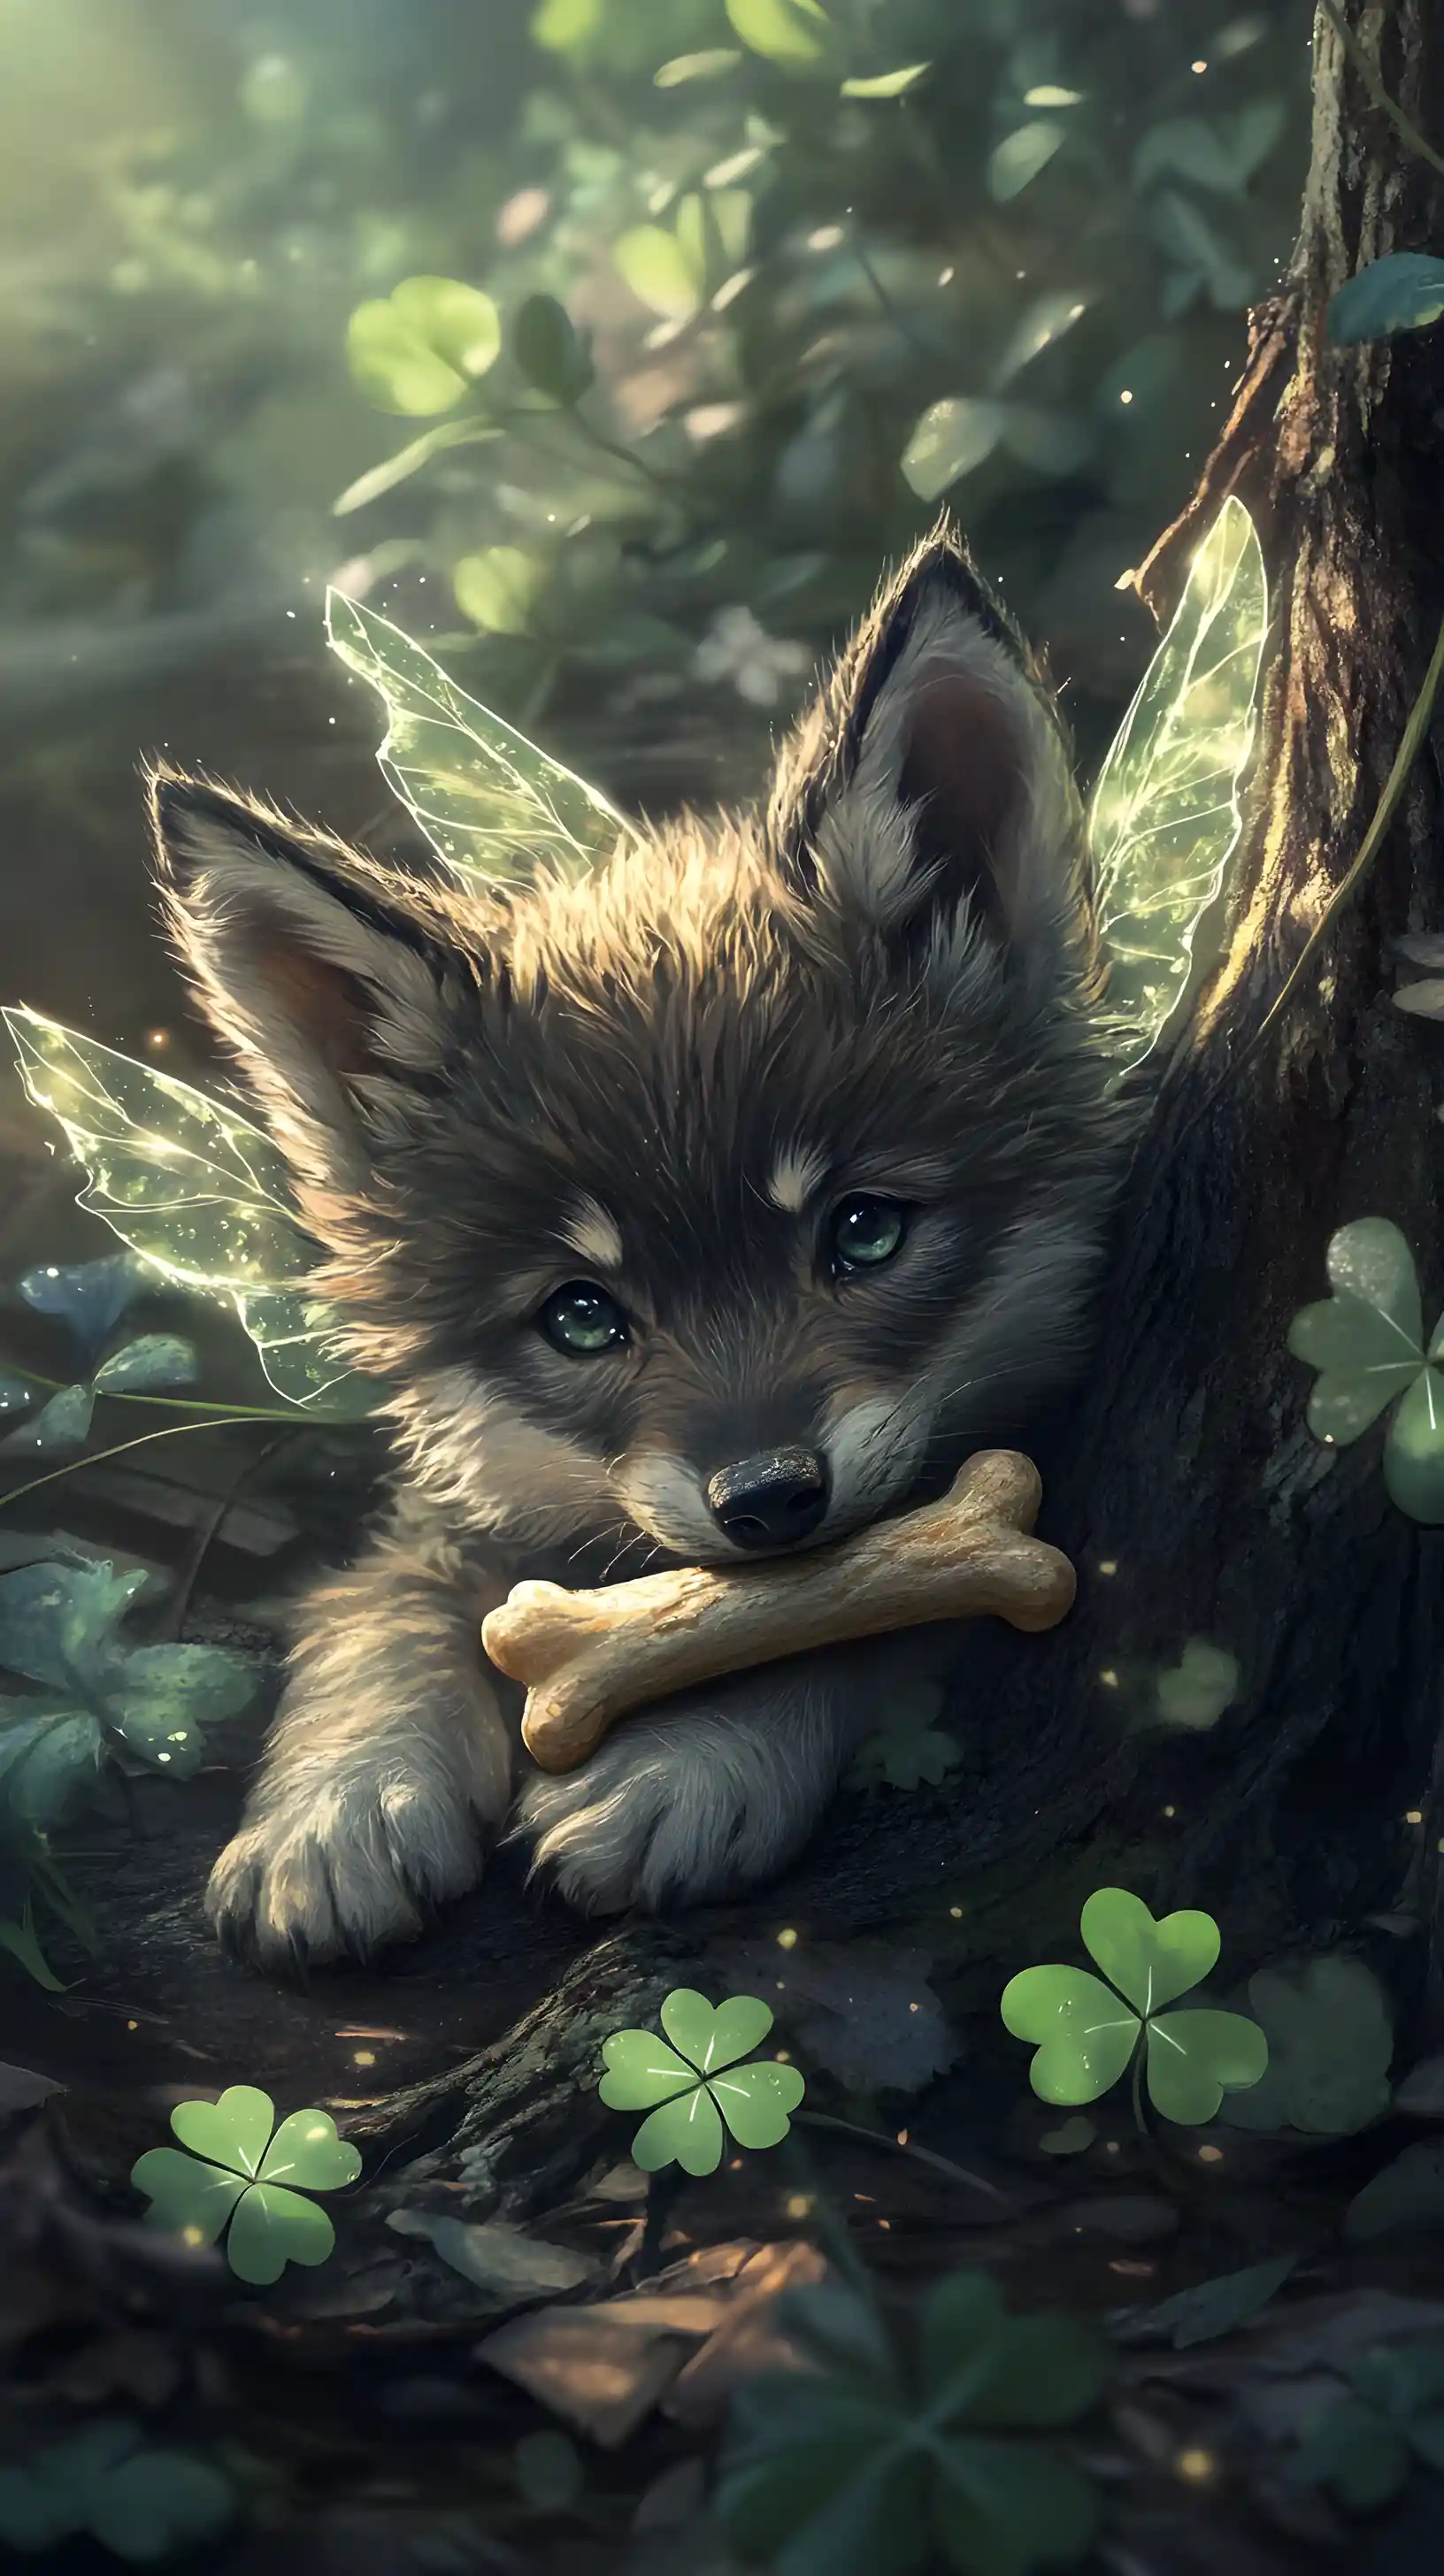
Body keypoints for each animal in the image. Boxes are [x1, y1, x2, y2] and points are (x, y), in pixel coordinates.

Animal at [150, 521, 1125, 1973]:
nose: (767, 1497)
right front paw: (339, 1804)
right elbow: (378, 1613)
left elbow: (845, 1616)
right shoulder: (451, 1509)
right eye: (581, 1315)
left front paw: (685, 1761)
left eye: (863, 1231)